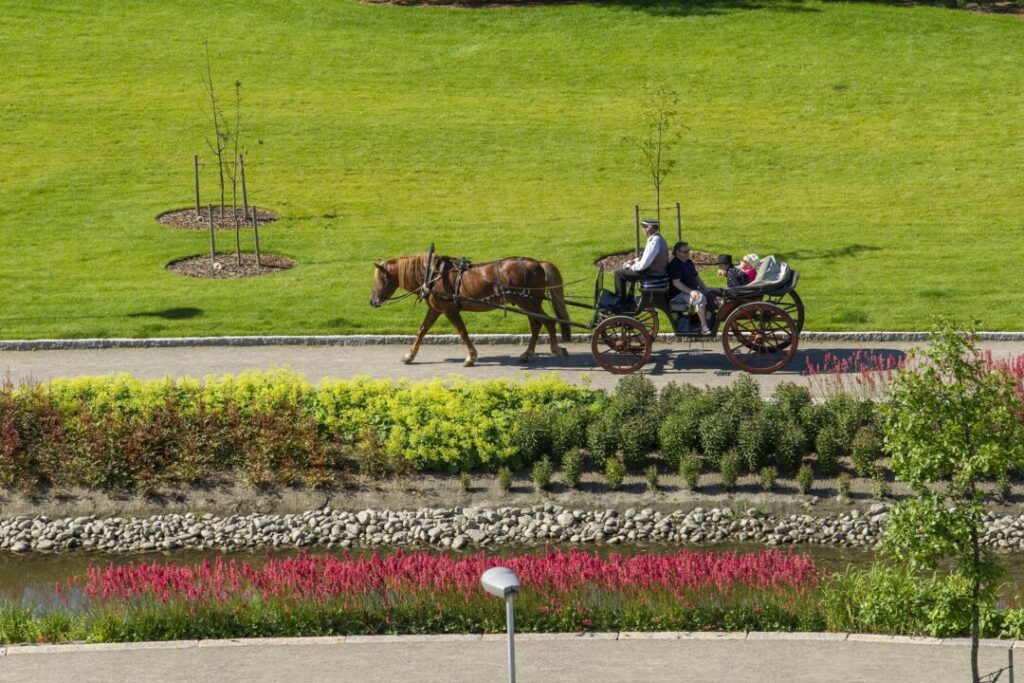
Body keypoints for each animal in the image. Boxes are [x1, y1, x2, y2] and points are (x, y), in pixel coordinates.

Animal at [370, 252, 577, 368]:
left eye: (380, 278)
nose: (372, 301)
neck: (434, 276)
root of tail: (538, 263)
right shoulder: (436, 309)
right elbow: (422, 330)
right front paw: (409, 355)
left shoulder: (449, 309)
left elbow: (462, 331)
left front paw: (470, 357)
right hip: (528, 304)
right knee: (536, 324)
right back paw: (528, 353)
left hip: (529, 302)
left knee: (546, 321)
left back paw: (555, 348)